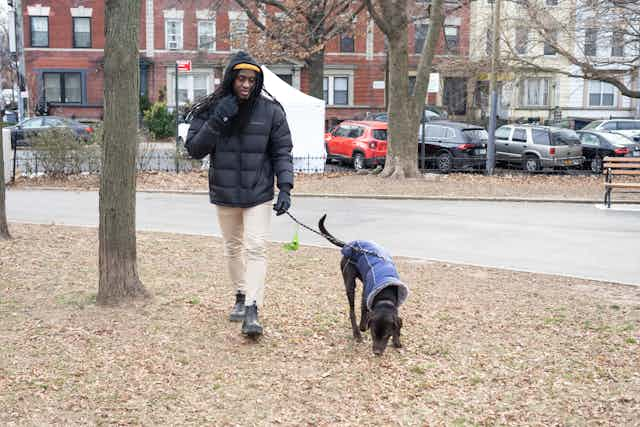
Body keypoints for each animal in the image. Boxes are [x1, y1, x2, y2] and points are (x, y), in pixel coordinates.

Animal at [318, 216, 408, 356]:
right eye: (373, 334)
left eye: (386, 335)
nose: (376, 352)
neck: (385, 297)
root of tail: (349, 245)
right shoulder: (366, 297)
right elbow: (363, 315)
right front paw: (362, 327)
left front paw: (396, 340)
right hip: (349, 282)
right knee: (352, 311)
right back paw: (356, 333)